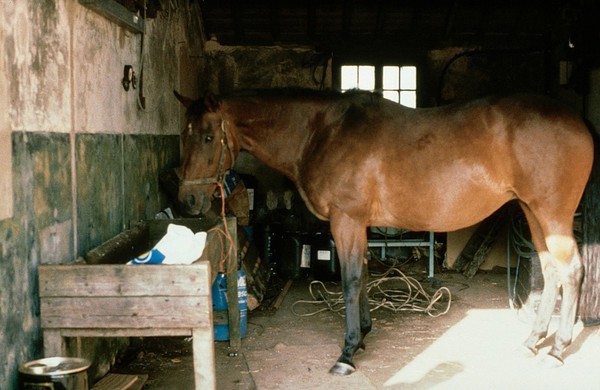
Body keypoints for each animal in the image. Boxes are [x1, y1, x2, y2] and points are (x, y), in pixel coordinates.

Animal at [173, 88, 596, 374]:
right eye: (184, 135)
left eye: (208, 136)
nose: (188, 201)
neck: (322, 132)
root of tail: (579, 122)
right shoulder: (357, 224)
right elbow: (360, 276)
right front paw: (362, 336)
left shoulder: (345, 220)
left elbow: (350, 280)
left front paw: (346, 353)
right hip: (532, 212)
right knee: (552, 273)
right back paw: (531, 342)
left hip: (552, 214)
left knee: (571, 271)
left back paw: (557, 349)